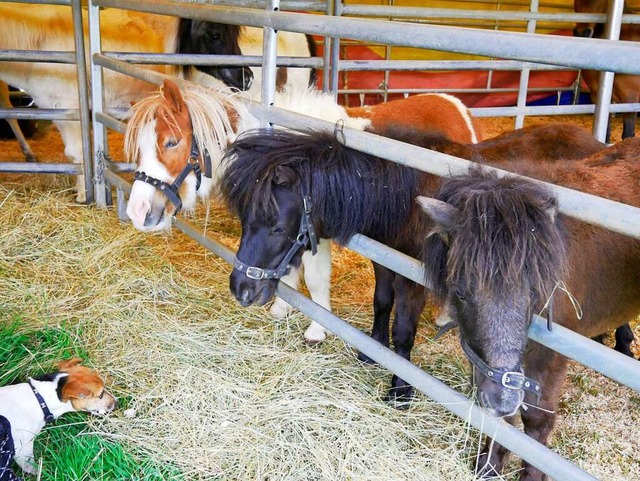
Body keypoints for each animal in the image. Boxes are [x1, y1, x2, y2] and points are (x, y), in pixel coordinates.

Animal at [122, 79, 478, 342]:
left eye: (171, 142)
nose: (138, 210)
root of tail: (454, 105)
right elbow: (287, 270)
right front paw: (282, 308)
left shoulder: (313, 231)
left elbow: (316, 278)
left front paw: (317, 329)